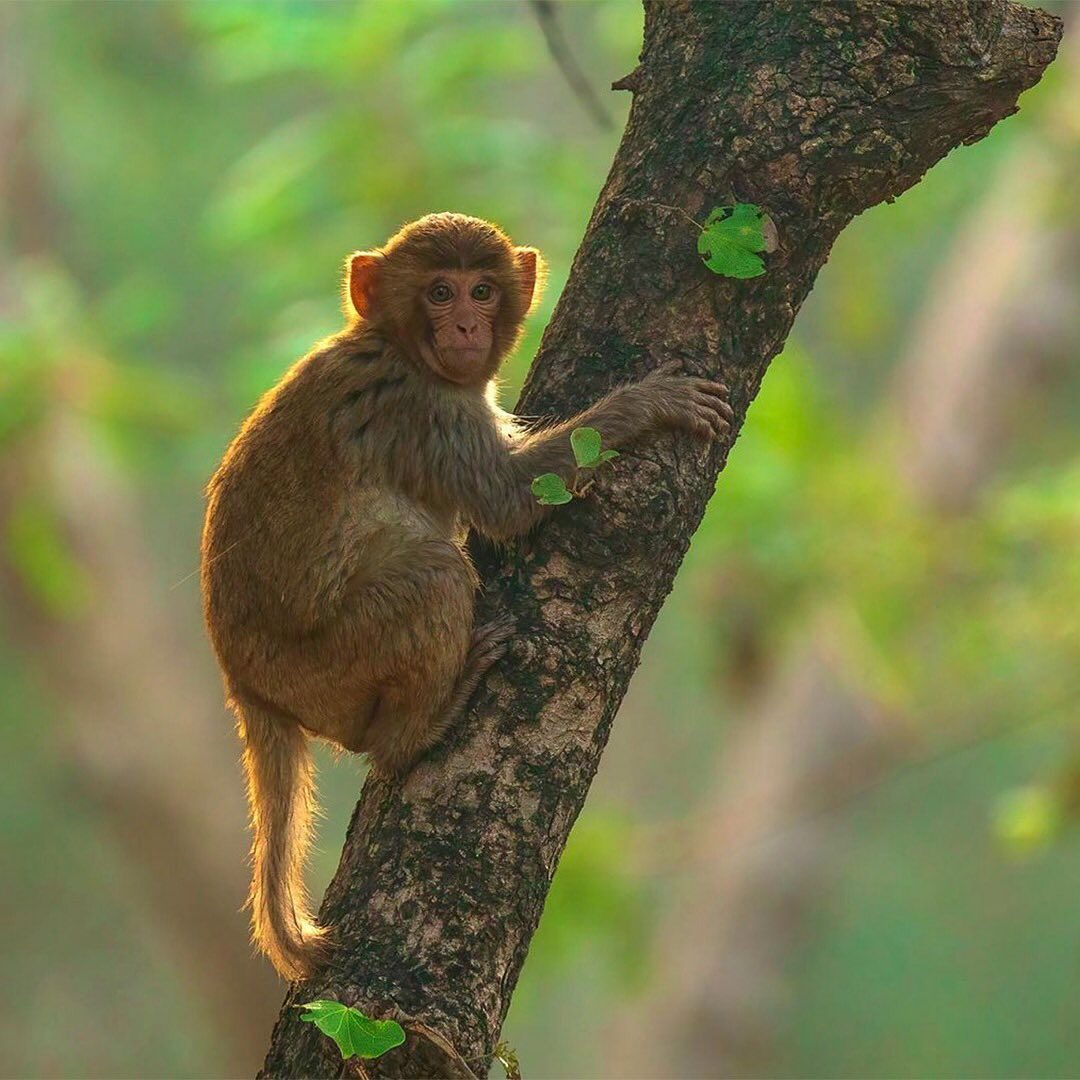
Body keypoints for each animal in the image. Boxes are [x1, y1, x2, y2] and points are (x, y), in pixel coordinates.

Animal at [200, 212, 733, 981]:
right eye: (439, 291)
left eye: (481, 290)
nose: (462, 326)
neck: (393, 345)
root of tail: (243, 682)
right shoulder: (430, 410)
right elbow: (509, 503)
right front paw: (645, 405)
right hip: (325, 667)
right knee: (435, 572)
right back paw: (414, 732)